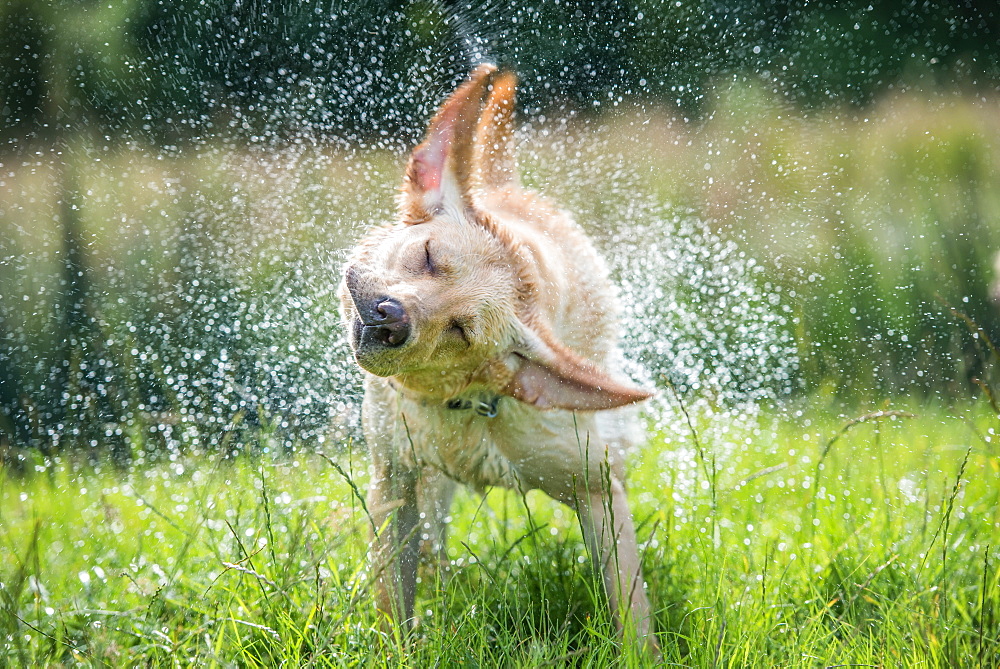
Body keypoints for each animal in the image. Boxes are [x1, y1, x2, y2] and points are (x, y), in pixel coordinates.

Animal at [340, 65, 660, 648]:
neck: (465, 408)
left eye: (461, 330)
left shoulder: (597, 484)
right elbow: (394, 601)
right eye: (428, 257)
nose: (390, 318)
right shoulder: (393, 480)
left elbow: (631, 613)